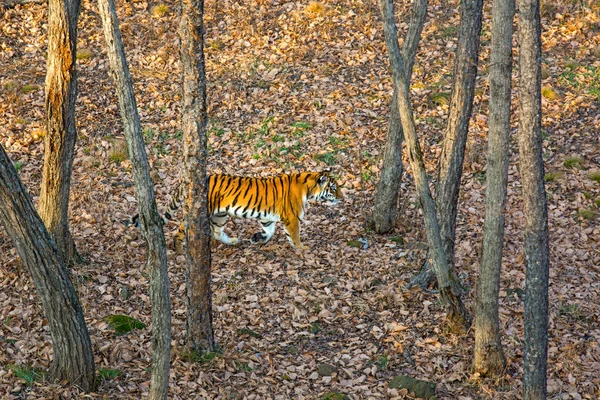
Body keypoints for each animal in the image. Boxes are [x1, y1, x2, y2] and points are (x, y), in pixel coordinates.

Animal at [132, 170, 342, 250]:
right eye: (333, 188)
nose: (342, 196)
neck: (309, 189)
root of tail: (186, 183)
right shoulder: (292, 218)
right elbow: (295, 235)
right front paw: (302, 249)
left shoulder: (268, 217)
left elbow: (269, 230)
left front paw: (257, 238)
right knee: (178, 232)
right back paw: (178, 251)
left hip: (220, 215)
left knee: (216, 232)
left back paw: (233, 241)